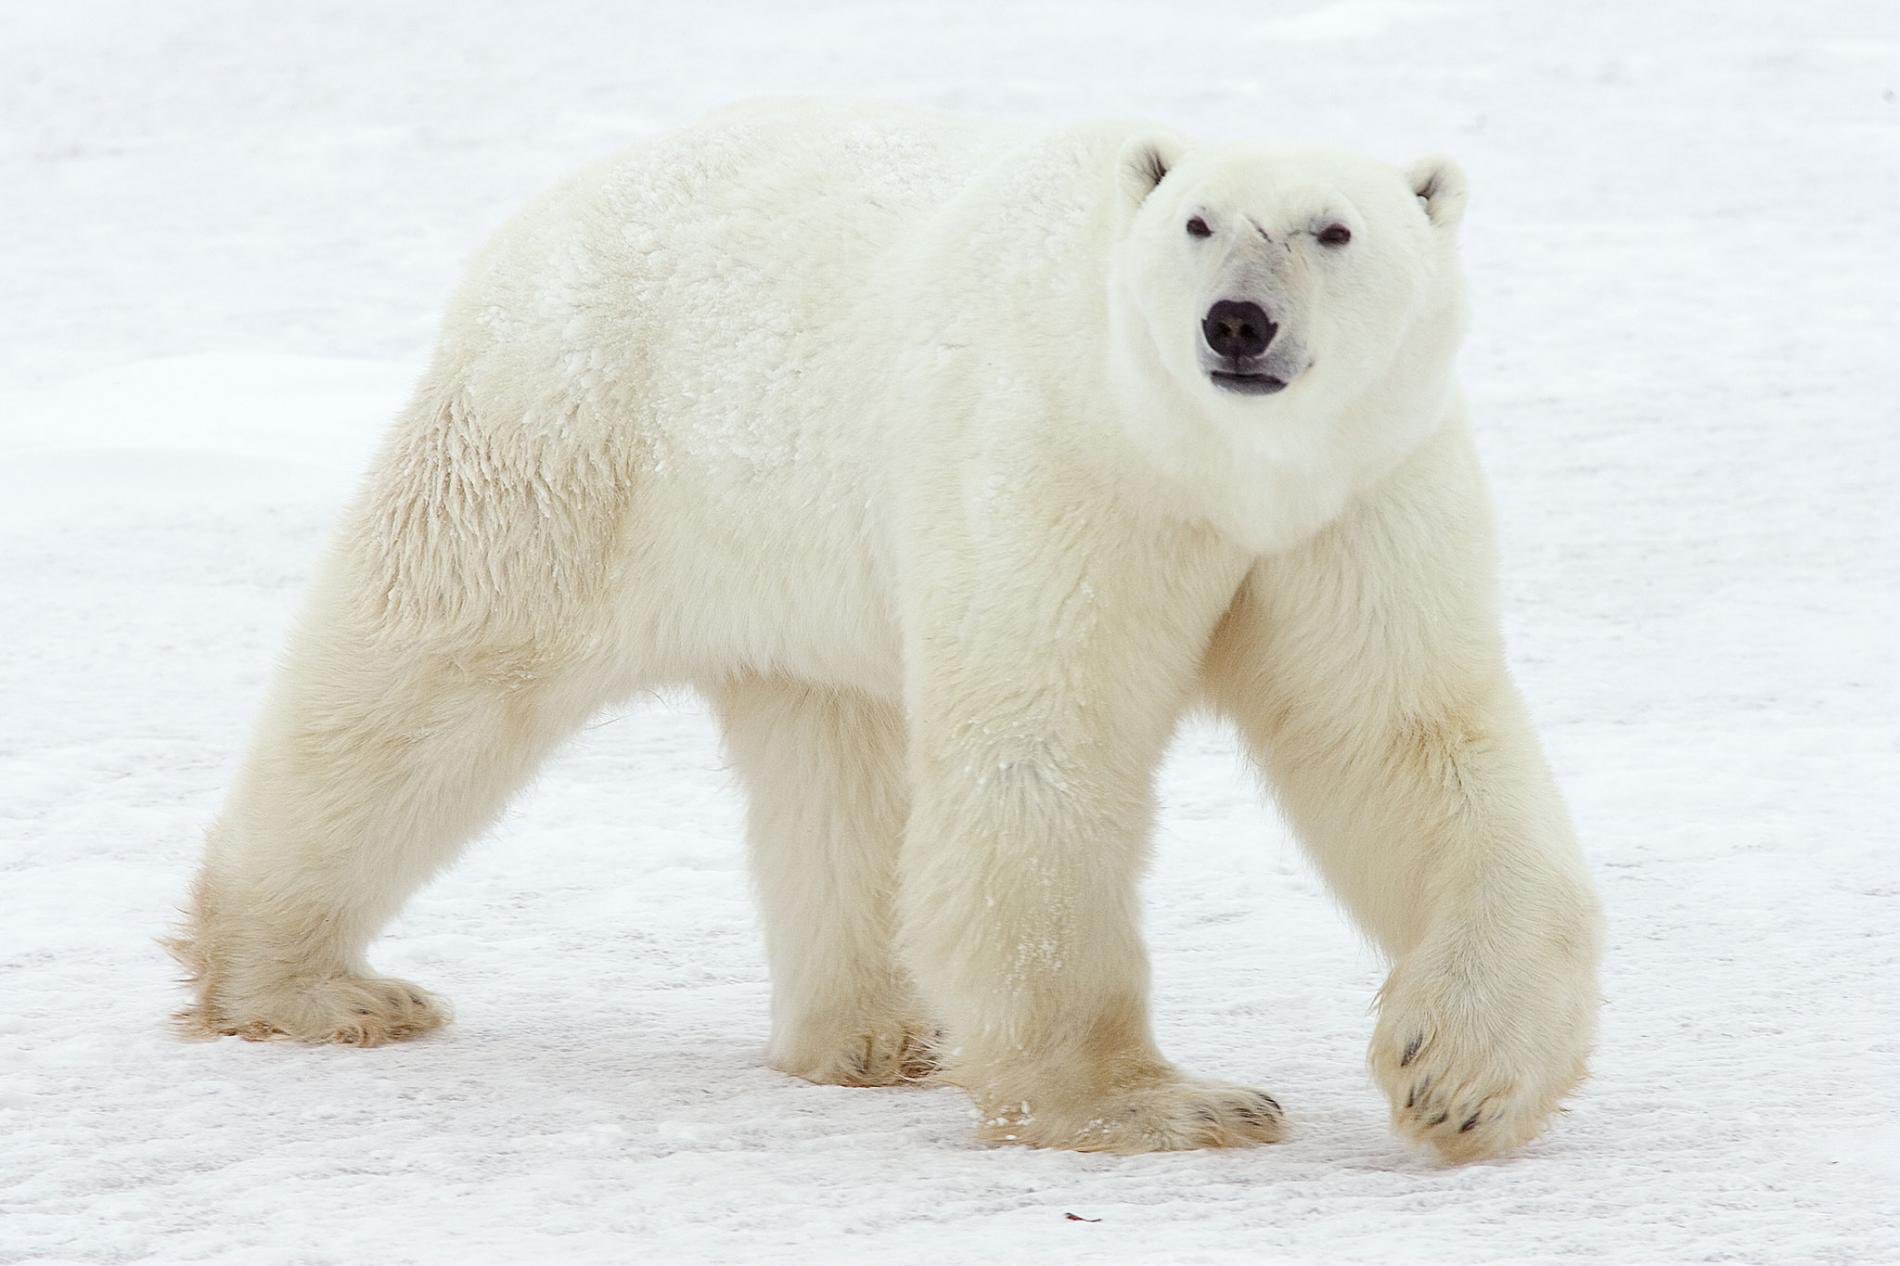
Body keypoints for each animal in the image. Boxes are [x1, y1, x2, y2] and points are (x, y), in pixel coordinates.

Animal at [174, 98, 1603, 1155]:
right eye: (1195, 221)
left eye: (1334, 229)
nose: (1236, 321)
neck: (1204, 467)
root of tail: (543, 214)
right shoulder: (1055, 469)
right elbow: (1043, 747)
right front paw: (1160, 1103)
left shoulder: (1354, 499)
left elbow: (1404, 737)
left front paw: (1459, 1077)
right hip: (572, 444)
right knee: (425, 678)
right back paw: (310, 985)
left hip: (793, 563)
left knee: (835, 766)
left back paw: (870, 1033)